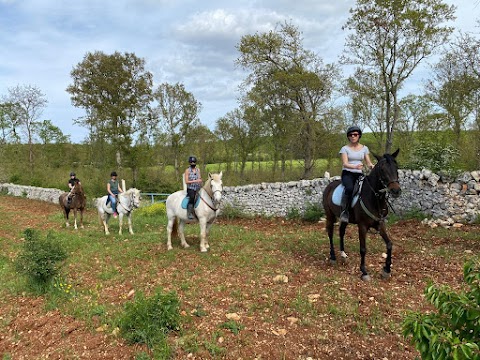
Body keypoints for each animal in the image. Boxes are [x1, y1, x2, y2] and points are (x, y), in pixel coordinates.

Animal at [322, 149, 402, 282]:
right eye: (382, 169)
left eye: (396, 167)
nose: (396, 191)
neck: (374, 198)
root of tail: (329, 186)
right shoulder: (362, 226)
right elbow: (363, 249)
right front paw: (364, 272)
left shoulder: (380, 224)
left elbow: (389, 244)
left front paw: (386, 270)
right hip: (330, 216)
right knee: (330, 233)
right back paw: (333, 257)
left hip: (345, 219)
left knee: (341, 232)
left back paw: (343, 255)